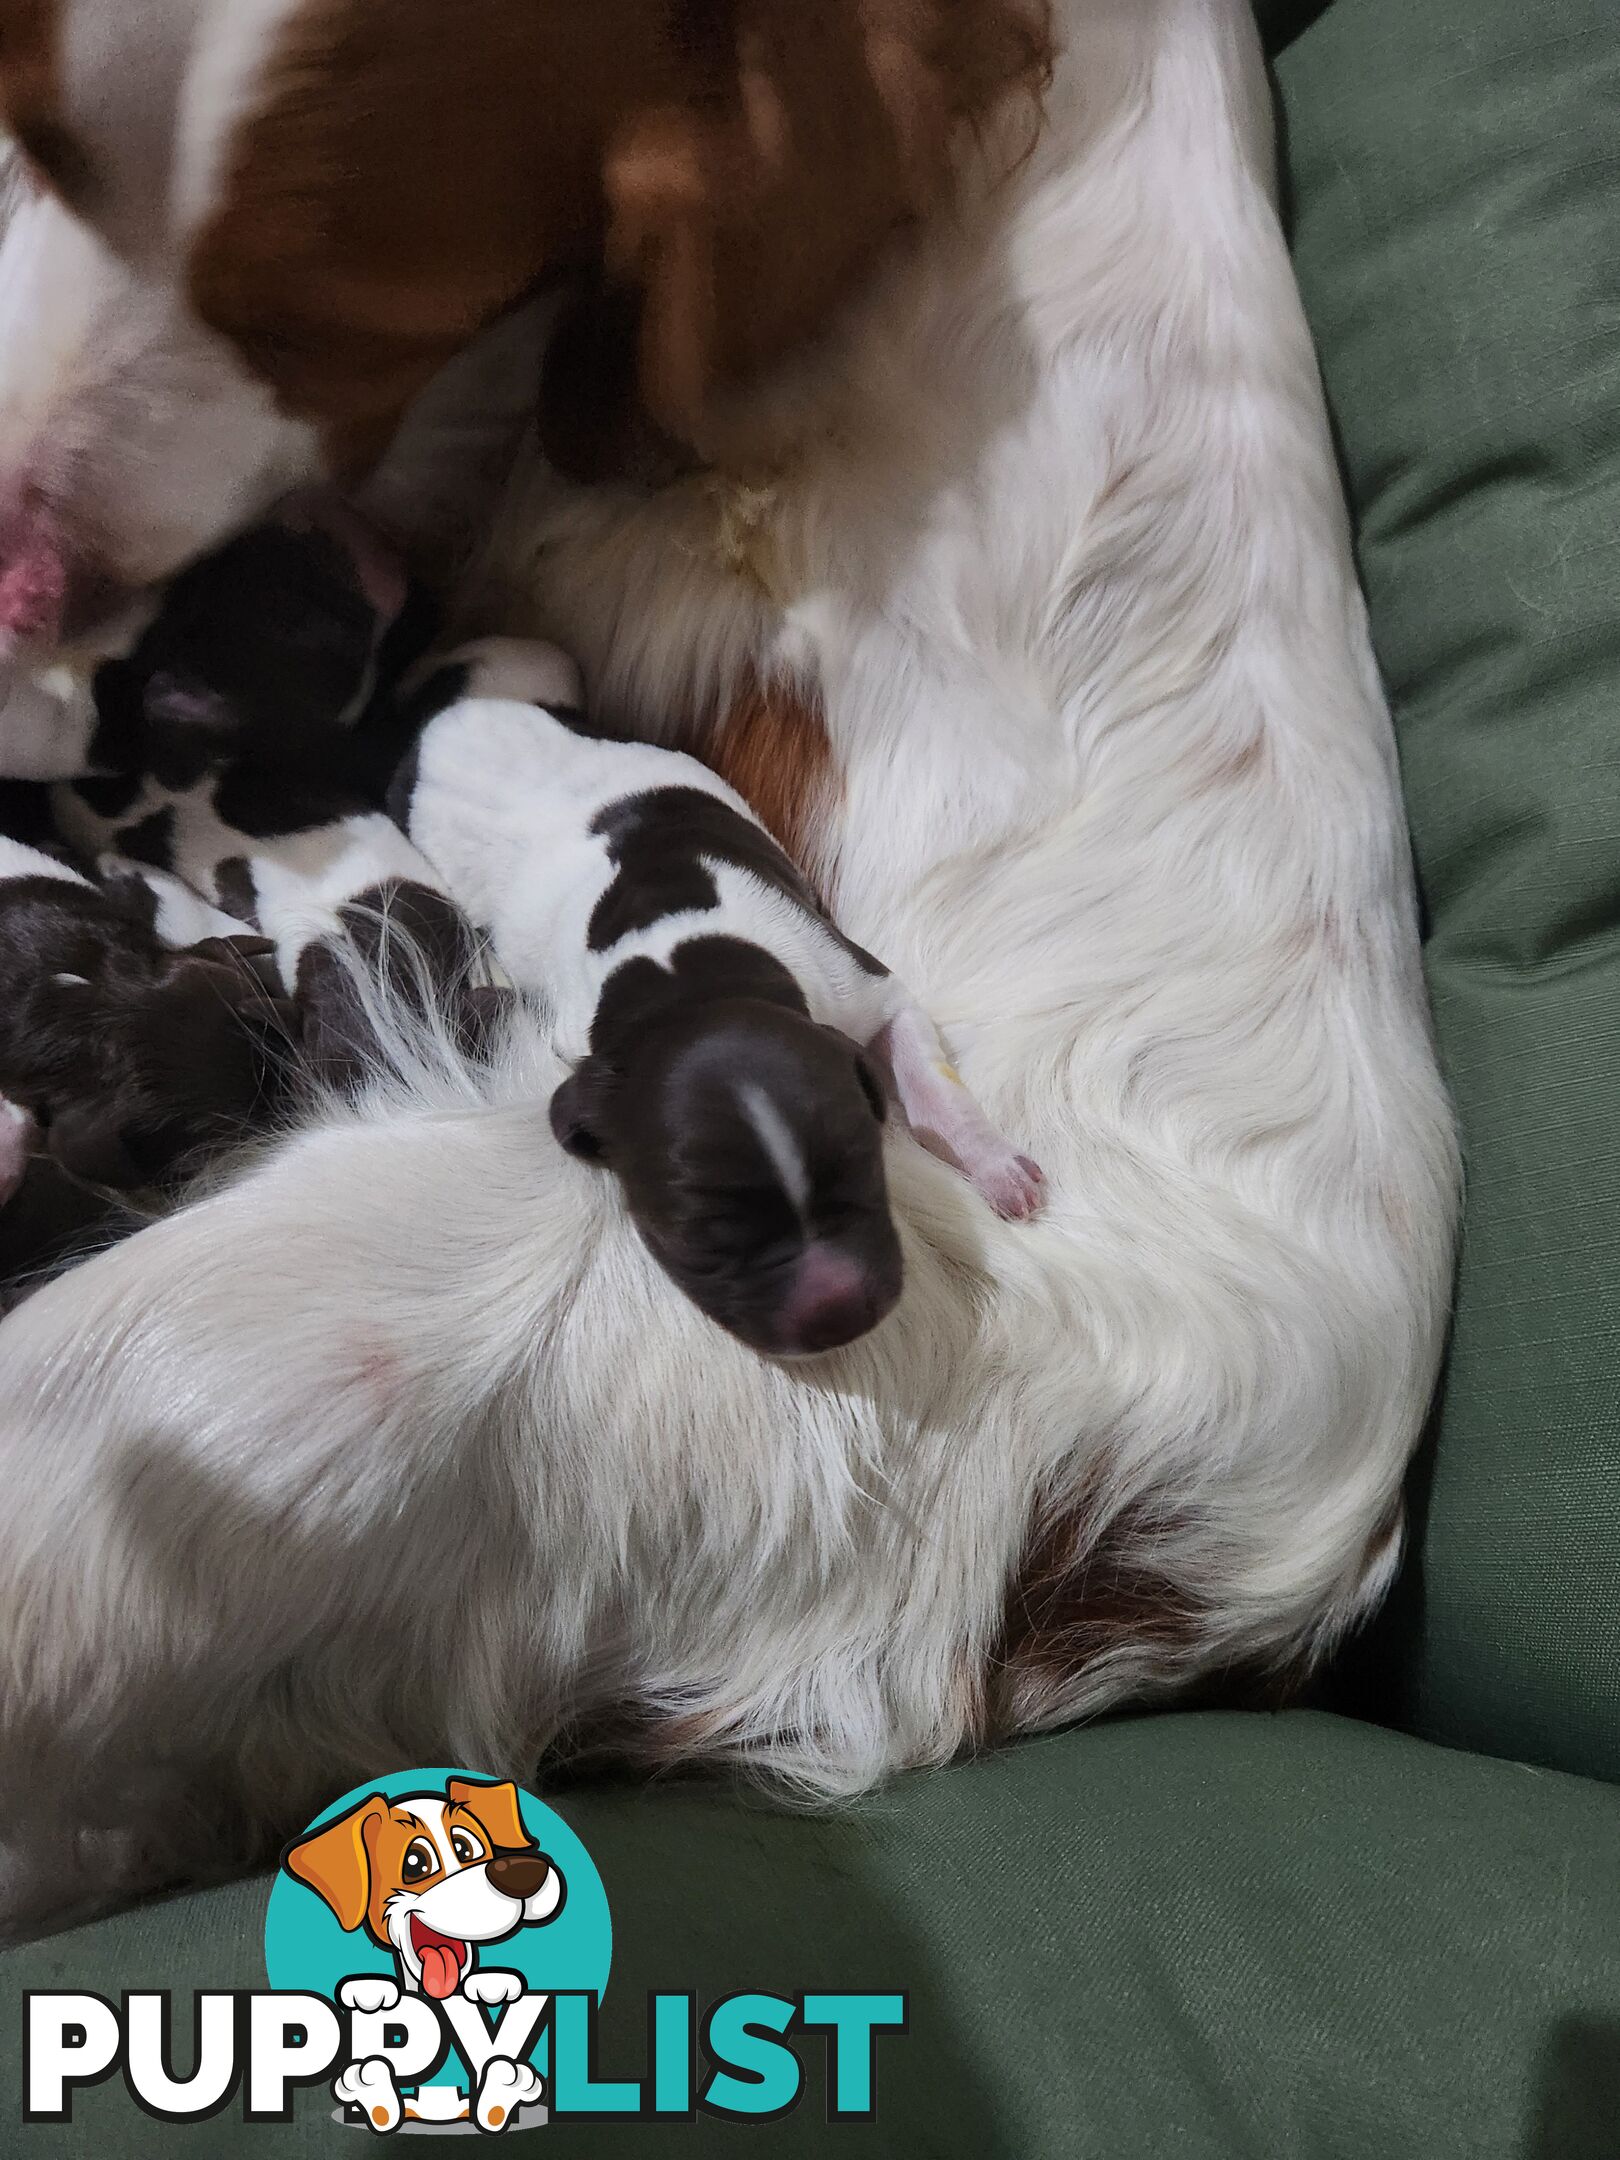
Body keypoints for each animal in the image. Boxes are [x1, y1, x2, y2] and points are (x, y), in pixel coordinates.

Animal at [399, 639, 1045, 1356]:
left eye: (863, 1162)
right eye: (698, 1236)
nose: (840, 1310)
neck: (692, 979)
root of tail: (454, 710)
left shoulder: (862, 984)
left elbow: (936, 1086)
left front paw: (995, 1163)